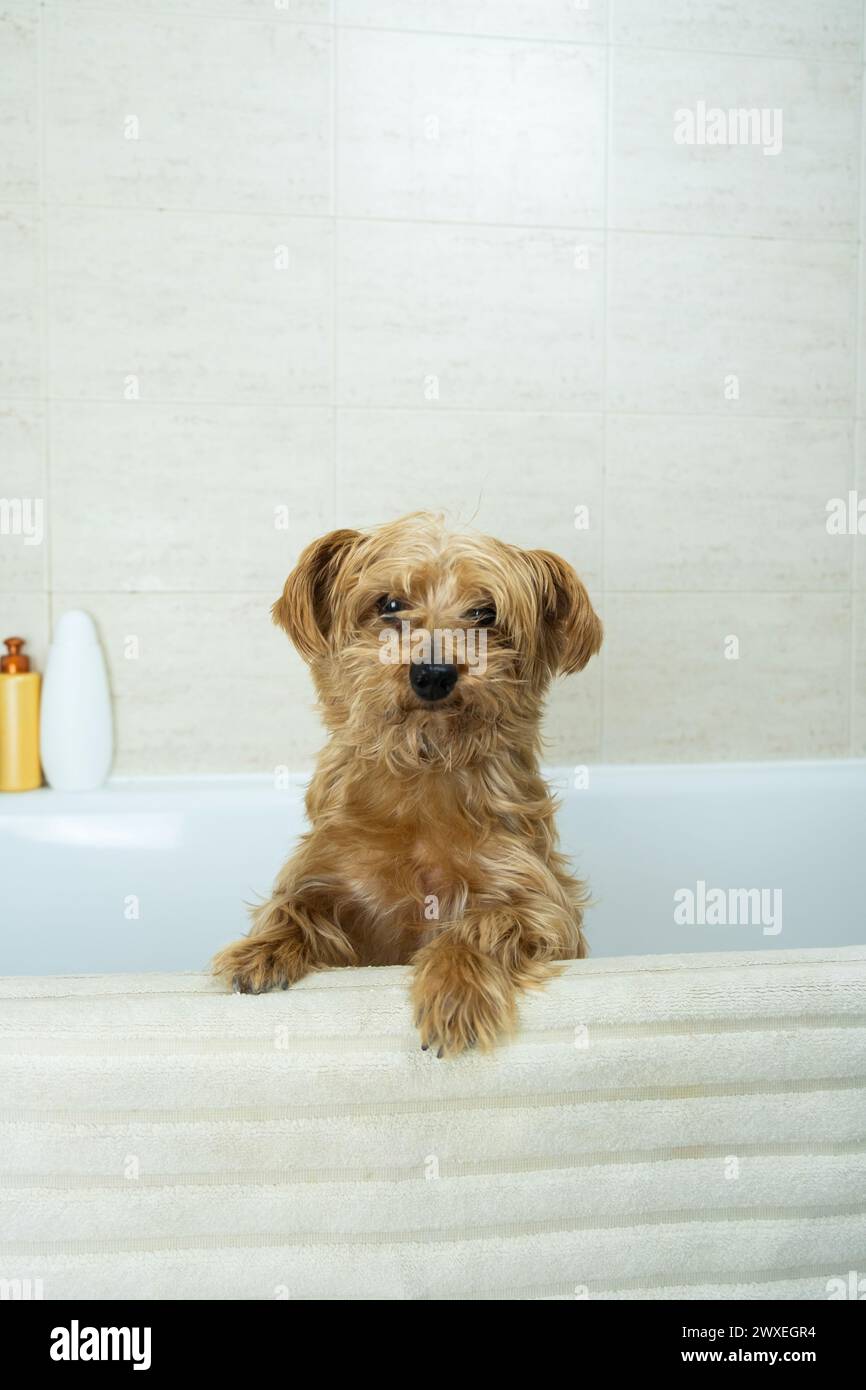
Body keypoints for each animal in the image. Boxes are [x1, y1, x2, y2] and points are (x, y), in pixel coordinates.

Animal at [214, 517, 600, 1056]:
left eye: (485, 613)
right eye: (390, 605)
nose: (433, 672)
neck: (425, 773)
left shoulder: (543, 906)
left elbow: (481, 925)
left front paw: (455, 992)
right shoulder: (327, 873)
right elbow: (293, 904)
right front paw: (260, 950)